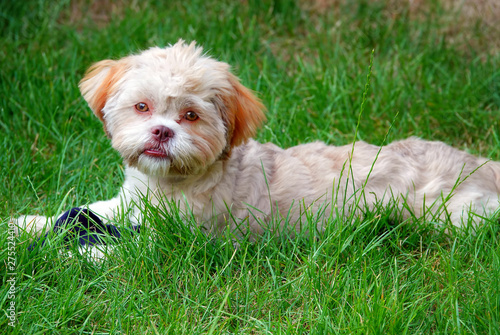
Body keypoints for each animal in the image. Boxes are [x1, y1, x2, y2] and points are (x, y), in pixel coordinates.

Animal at [13, 40, 500, 244]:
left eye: (190, 116)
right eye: (143, 107)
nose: (163, 131)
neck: (171, 183)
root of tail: (480, 164)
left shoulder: (175, 239)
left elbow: (112, 247)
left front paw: (66, 253)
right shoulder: (127, 204)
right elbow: (83, 213)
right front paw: (26, 226)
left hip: (452, 214)